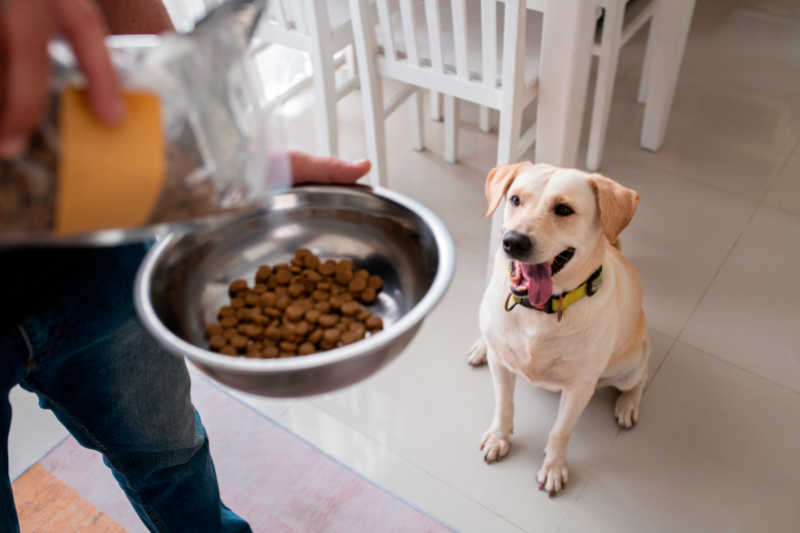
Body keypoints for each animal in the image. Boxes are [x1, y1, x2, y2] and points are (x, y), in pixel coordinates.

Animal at [468, 162, 648, 498]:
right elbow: (504, 405)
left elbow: (560, 431)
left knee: (640, 379)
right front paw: (500, 438)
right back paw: (481, 345)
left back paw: (628, 405)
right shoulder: (502, 365)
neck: (538, 311)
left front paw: (554, 468)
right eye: (515, 199)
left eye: (564, 209)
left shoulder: (579, 389)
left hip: (628, 368)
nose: (513, 242)